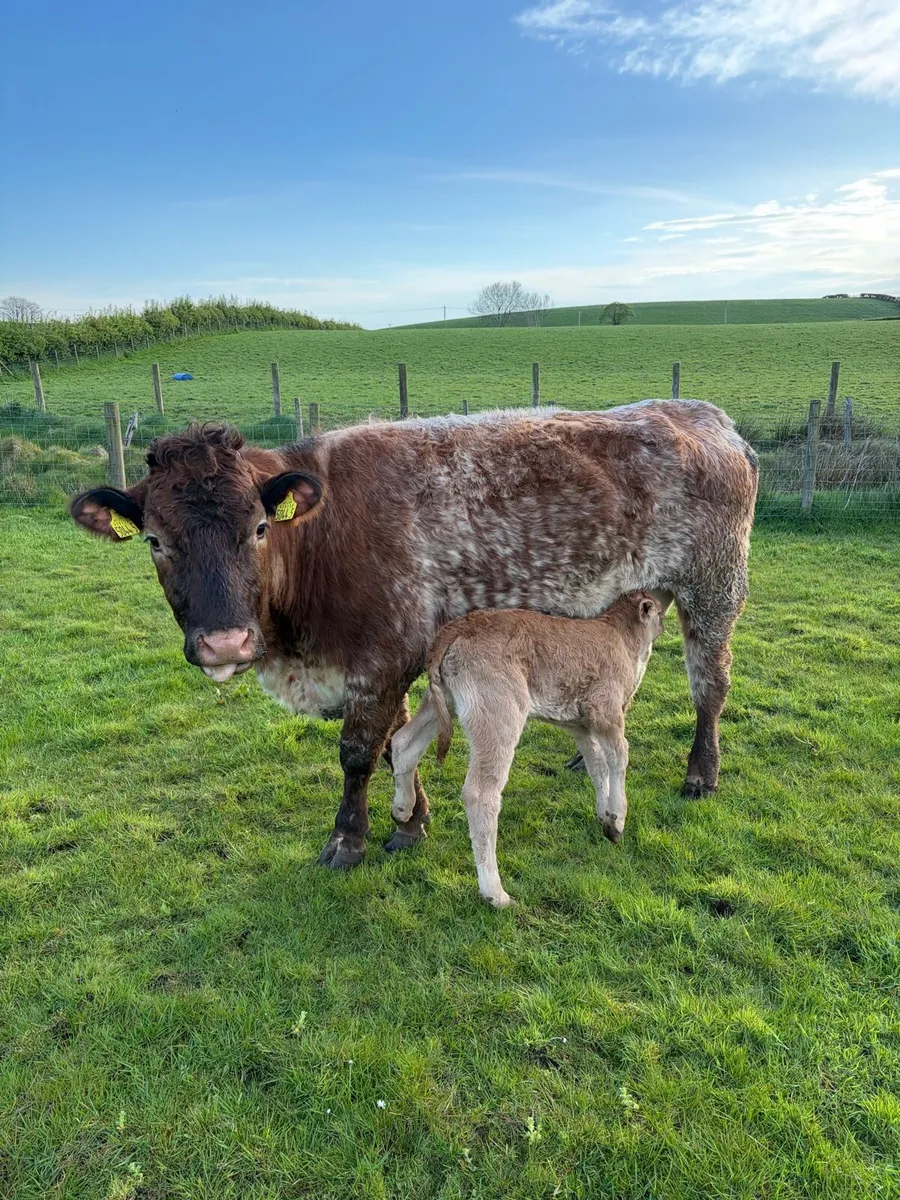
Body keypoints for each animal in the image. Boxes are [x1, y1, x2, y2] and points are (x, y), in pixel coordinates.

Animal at [69, 400, 758, 869]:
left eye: (259, 528)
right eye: (155, 541)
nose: (224, 644)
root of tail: (706, 416)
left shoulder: (382, 655)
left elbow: (360, 751)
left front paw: (348, 838)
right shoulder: (386, 660)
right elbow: (399, 743)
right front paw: (411, 822)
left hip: (715, 586)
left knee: (710, 684)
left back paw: (701, 773)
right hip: (646, 594)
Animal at [390, 591, 666, 907]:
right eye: (659, 611)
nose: (664, 622)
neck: (622, 638)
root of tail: (457, 628)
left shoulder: (582, 726)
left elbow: (597, 765)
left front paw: (603, 814)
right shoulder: (606, 712)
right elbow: (619, 757)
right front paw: (616, 822)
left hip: (441, 703)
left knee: (402, 743)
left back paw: (401, 810)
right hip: (499, 713)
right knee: (480, 793)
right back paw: (496, 893)